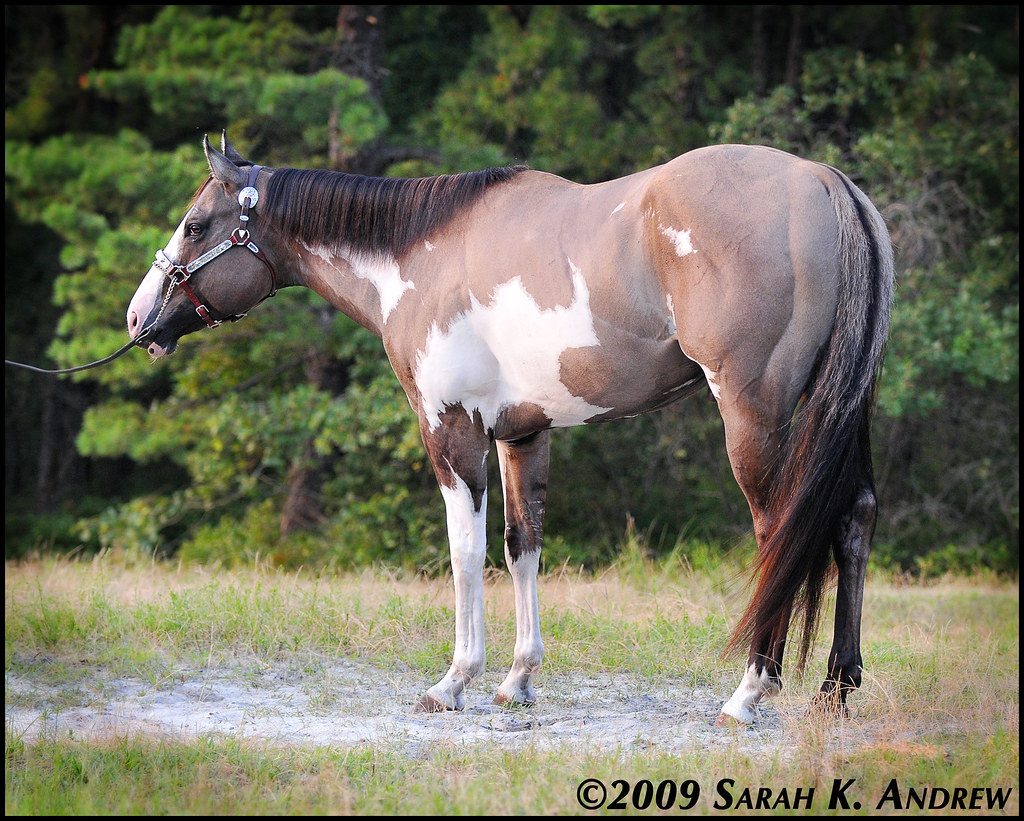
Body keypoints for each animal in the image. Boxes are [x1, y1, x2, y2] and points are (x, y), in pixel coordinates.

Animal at [127, 134, 894, 724]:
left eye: (195, 225)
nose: (138, 320)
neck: (420, 253)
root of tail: (822, 180)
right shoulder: (523, 433)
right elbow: (522, 545)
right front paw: (517, 680)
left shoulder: (451, 428)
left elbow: (464, 551)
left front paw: (453, 681)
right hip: (843, 410)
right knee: (853, 517)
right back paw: (837, 689)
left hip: (754, 414)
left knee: (778, 532)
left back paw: (748, 694)